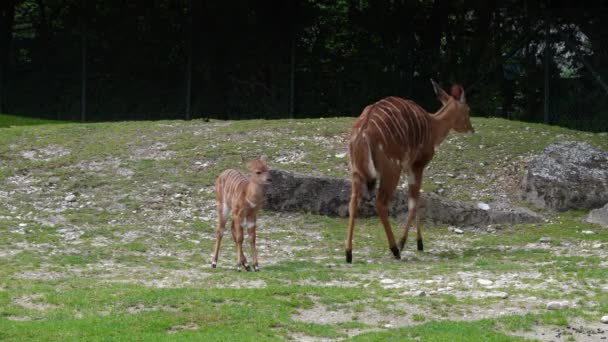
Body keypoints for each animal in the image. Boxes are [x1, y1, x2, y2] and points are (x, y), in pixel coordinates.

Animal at [344, 79, 472, 264]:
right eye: (468, 109)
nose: (471, 128)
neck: (433, 126)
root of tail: (363, 131)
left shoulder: (408, 167)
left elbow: (416, 201)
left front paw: (420, 243)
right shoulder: (417, 165)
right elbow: (413, 202)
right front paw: (404, 243)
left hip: (356, 171)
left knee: (353, 202)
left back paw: (348, 253)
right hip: (391, 171)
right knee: (380, 203)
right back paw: (395, 249)